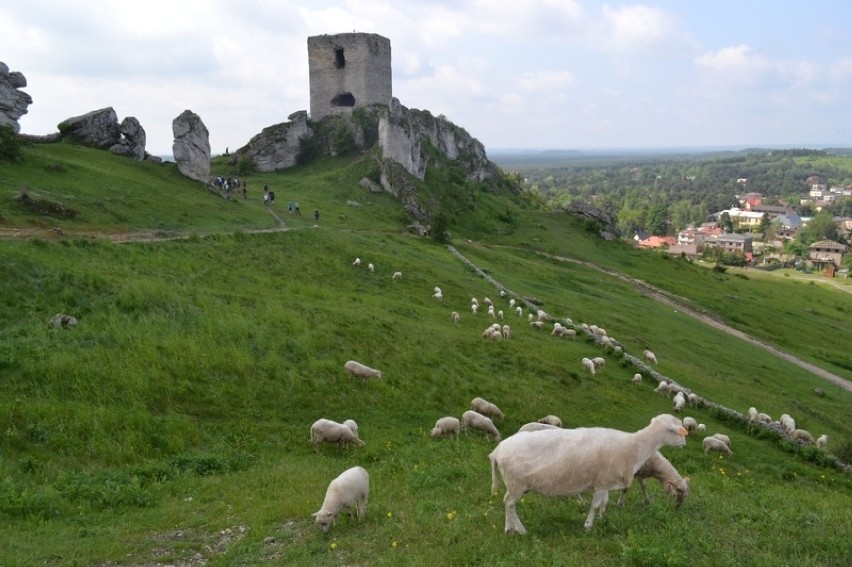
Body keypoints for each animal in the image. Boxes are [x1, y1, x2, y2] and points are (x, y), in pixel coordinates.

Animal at [490, 414, 688, 536]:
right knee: (509, 504)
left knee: (509, 504)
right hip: (516, 483)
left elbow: (604, 503)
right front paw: (588, 527)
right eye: (676, 430)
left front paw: (602, 519)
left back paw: (515, 529)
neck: (634, 446)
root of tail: (497, 450)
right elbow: (595, 505)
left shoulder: (606, 482)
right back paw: (515, 530)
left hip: (517, 485)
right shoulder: (601, 483)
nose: (684, 443)